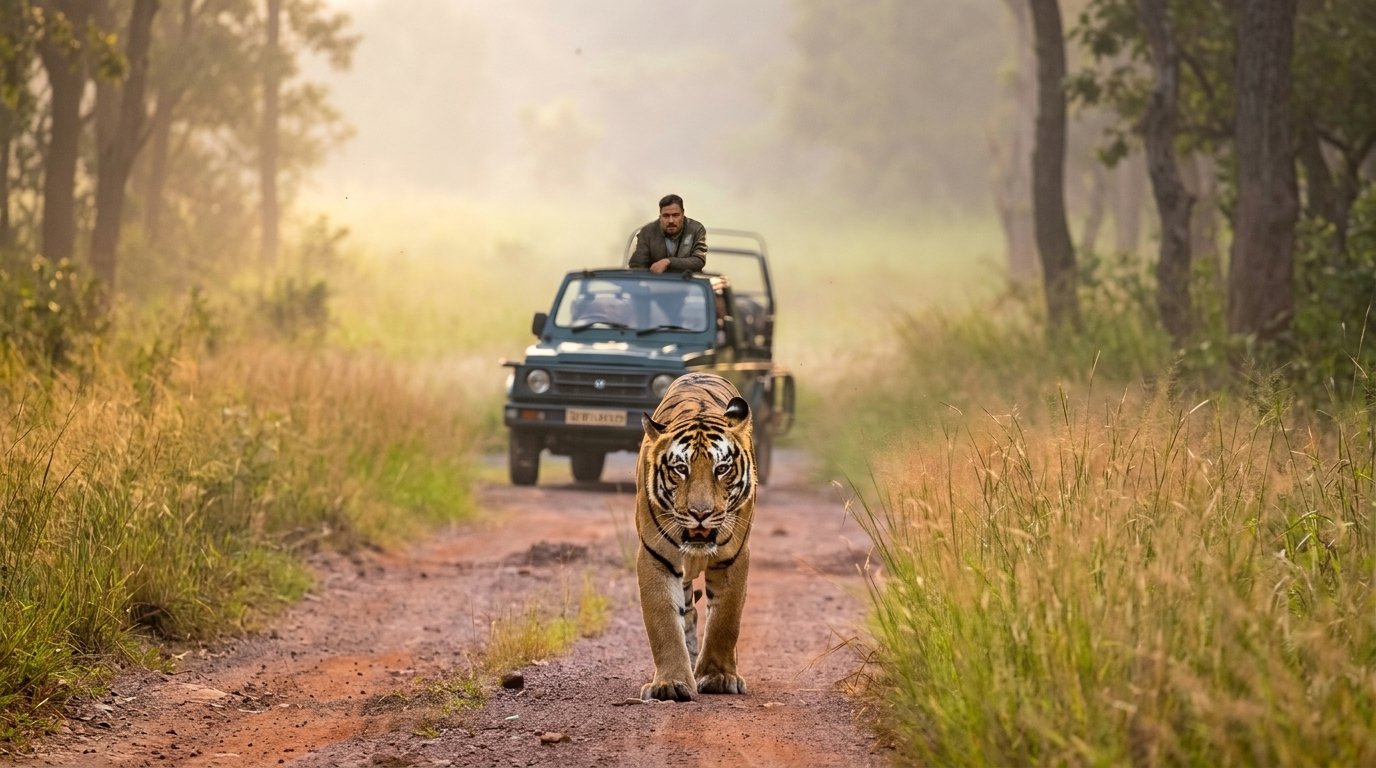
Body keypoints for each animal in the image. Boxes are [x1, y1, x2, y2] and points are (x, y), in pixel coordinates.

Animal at [634, 371, 757, 702]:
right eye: (680, 469)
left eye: (722, 468)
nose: (700, 512)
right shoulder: (655, 557)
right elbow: (664, 623)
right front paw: (671, 683)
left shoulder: (734, 558)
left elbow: (726, 620)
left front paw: (718, 676)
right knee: (687, 612)